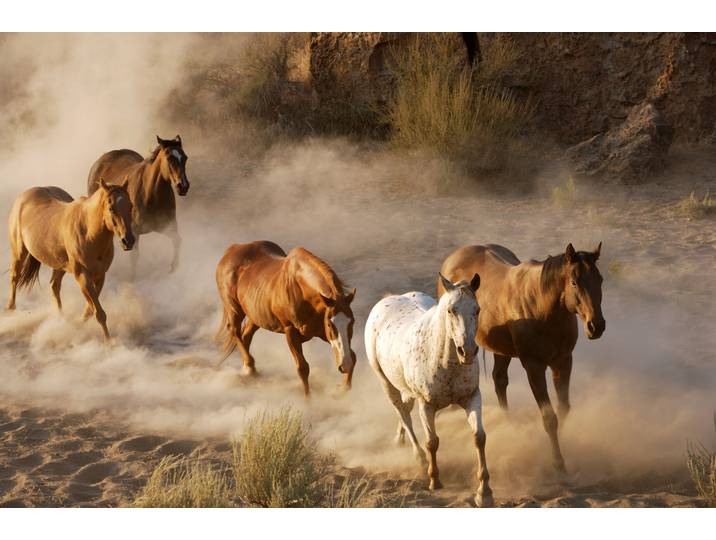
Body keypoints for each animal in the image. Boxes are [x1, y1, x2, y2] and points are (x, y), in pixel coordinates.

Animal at [6, 179, 135, 341]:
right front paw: (109, 343)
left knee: (54, 286)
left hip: (60, 265)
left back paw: (60, 320)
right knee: (14, 278)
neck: (88, 232)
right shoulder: (82, 276)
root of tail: (24, 196)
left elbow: (91, 310)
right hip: (19, 253)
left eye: (130, 206)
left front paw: (78, 324)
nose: (128, 241)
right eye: (111, 208)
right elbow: (99, 313)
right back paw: (10, 311)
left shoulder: (100, 275)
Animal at [87, 135, 190, 278]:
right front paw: (132, 278)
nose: (183, 186)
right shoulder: (133, 232)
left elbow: (177, 241)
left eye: (185, 157)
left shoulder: (168, 226)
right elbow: (134, 257)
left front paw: (174, 268)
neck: (151, 194)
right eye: (169, 158)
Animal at [215, 240, 357, 395]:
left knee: (245, 336)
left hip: (255, 315)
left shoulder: (321, 331)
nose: (345, 365)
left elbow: (353, 355)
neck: (300, 289)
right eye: (331, 324)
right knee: (234, 331)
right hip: (234, 309)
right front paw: (308, 400)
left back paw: (249, 369)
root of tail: (232, 249)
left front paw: (342, 389)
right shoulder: (291, 331)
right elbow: (303, 368)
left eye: (352, 322)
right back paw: (249, 368)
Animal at [365, 273, 493, 507]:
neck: (445, 361)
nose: (467, 351)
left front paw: (484, 492)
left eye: (477, 309)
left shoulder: (472, 397)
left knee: (405, 411)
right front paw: (435, 480)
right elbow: (432, 442)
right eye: (451, 310)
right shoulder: (427, 405)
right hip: (387, 384)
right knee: (404, 415)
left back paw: (399, 439)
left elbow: (479, 437)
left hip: (406, 389)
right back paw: (420, 459)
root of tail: (387, 300)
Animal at [438, 243, 605, 473]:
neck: (542, 308)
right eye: (574, 282)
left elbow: (563, 409)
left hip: (501, 351)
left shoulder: (563, 362)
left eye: (600, 280)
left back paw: (508, 421)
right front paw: (557, 461)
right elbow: (549, 417)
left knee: (499, 380)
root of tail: (452, 258)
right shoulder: (534, 367)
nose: (596, 326)